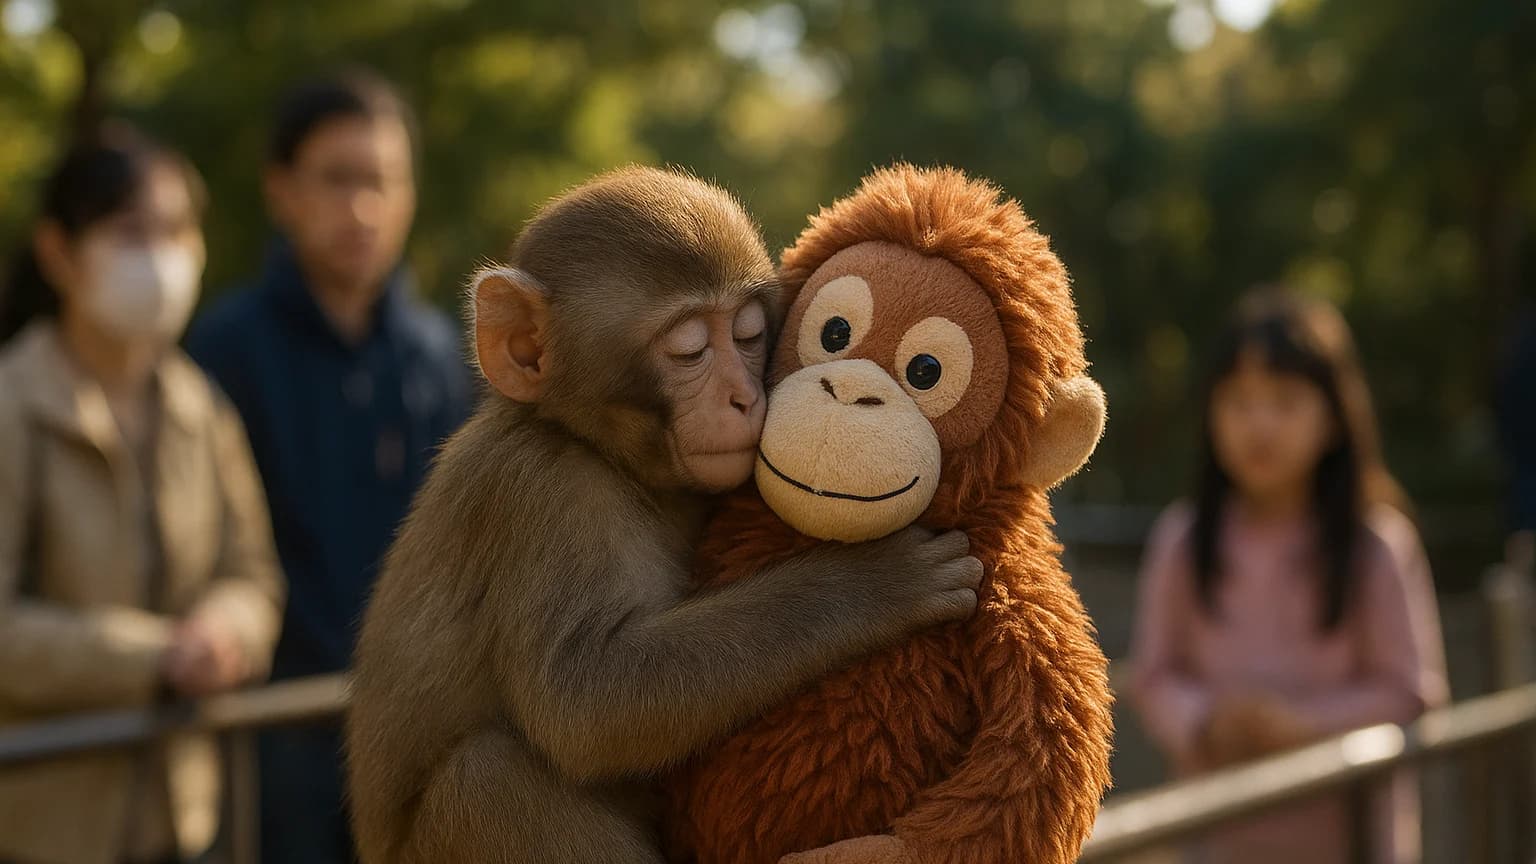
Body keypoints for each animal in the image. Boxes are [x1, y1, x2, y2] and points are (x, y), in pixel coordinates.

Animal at [343, 167, 985, 864]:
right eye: (689, 350)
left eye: (748, 334)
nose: (744, 397)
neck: (599, 451)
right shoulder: (543, 492)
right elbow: (583, 700)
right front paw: (872, 580)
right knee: (487, 777)